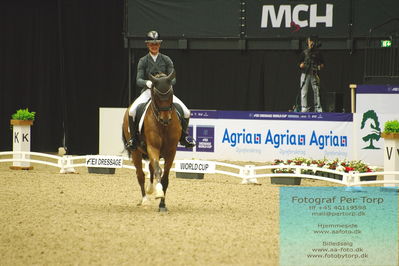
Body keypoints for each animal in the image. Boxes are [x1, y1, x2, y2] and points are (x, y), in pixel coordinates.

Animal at [122, 70, 182, 212]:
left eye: (170, 95)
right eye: (157, 96)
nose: (165, 119)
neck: (163, 126)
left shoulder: (171, 151)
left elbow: (164, 178)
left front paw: (162, 205)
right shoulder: (153, 147)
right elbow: (158, 170)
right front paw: (159, 193)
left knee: (150, 168)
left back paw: (150, 189)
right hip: (136, 152)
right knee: (140, 175)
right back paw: (145, 199)